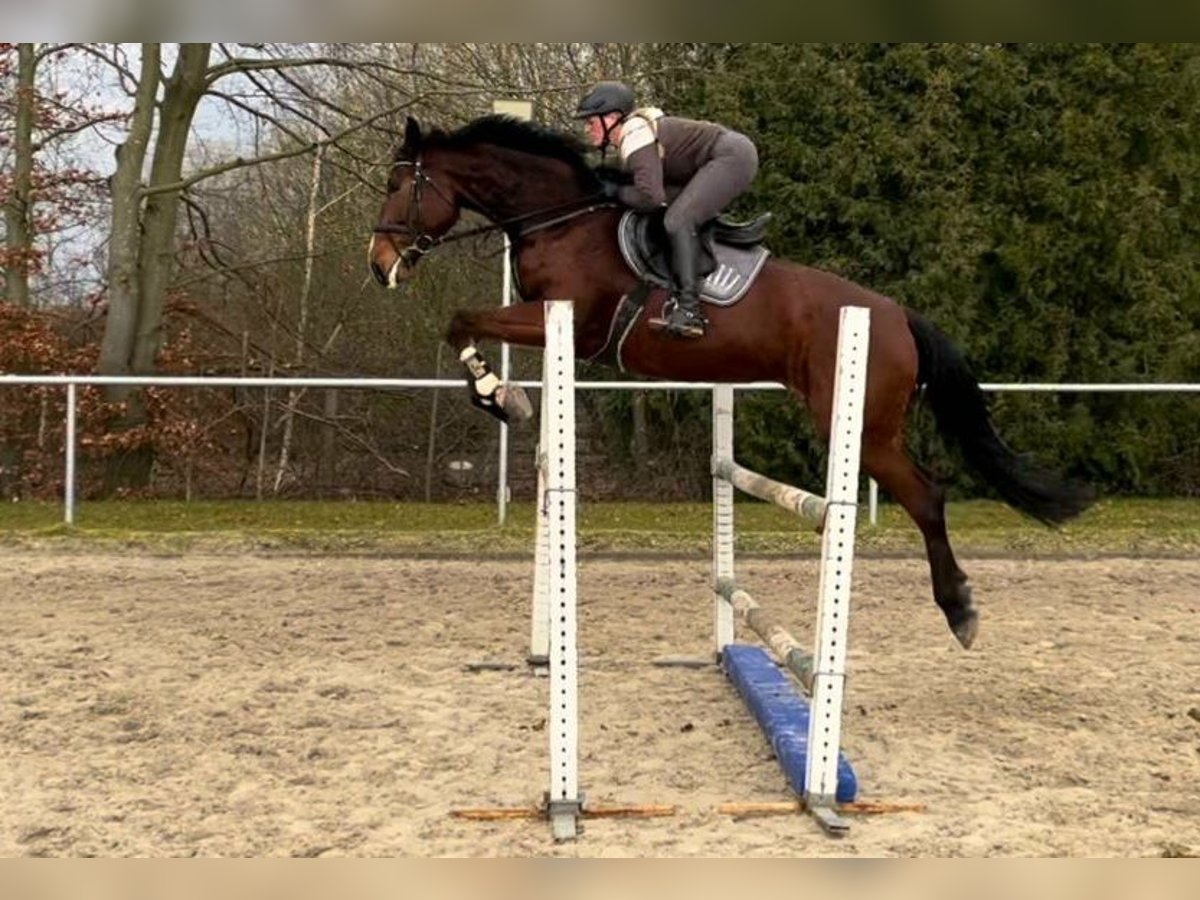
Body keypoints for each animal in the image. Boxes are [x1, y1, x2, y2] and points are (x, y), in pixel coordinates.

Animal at [364, 116, 1099, 652]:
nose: (378, 264)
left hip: (862, 425)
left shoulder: (568, 322)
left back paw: (959, 610)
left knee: (927, 495)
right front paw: (503, 396)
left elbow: (461, 320)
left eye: (400, 187)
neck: (562, 218)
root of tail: (897, 315)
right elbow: (462, 325)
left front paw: (500, 396)